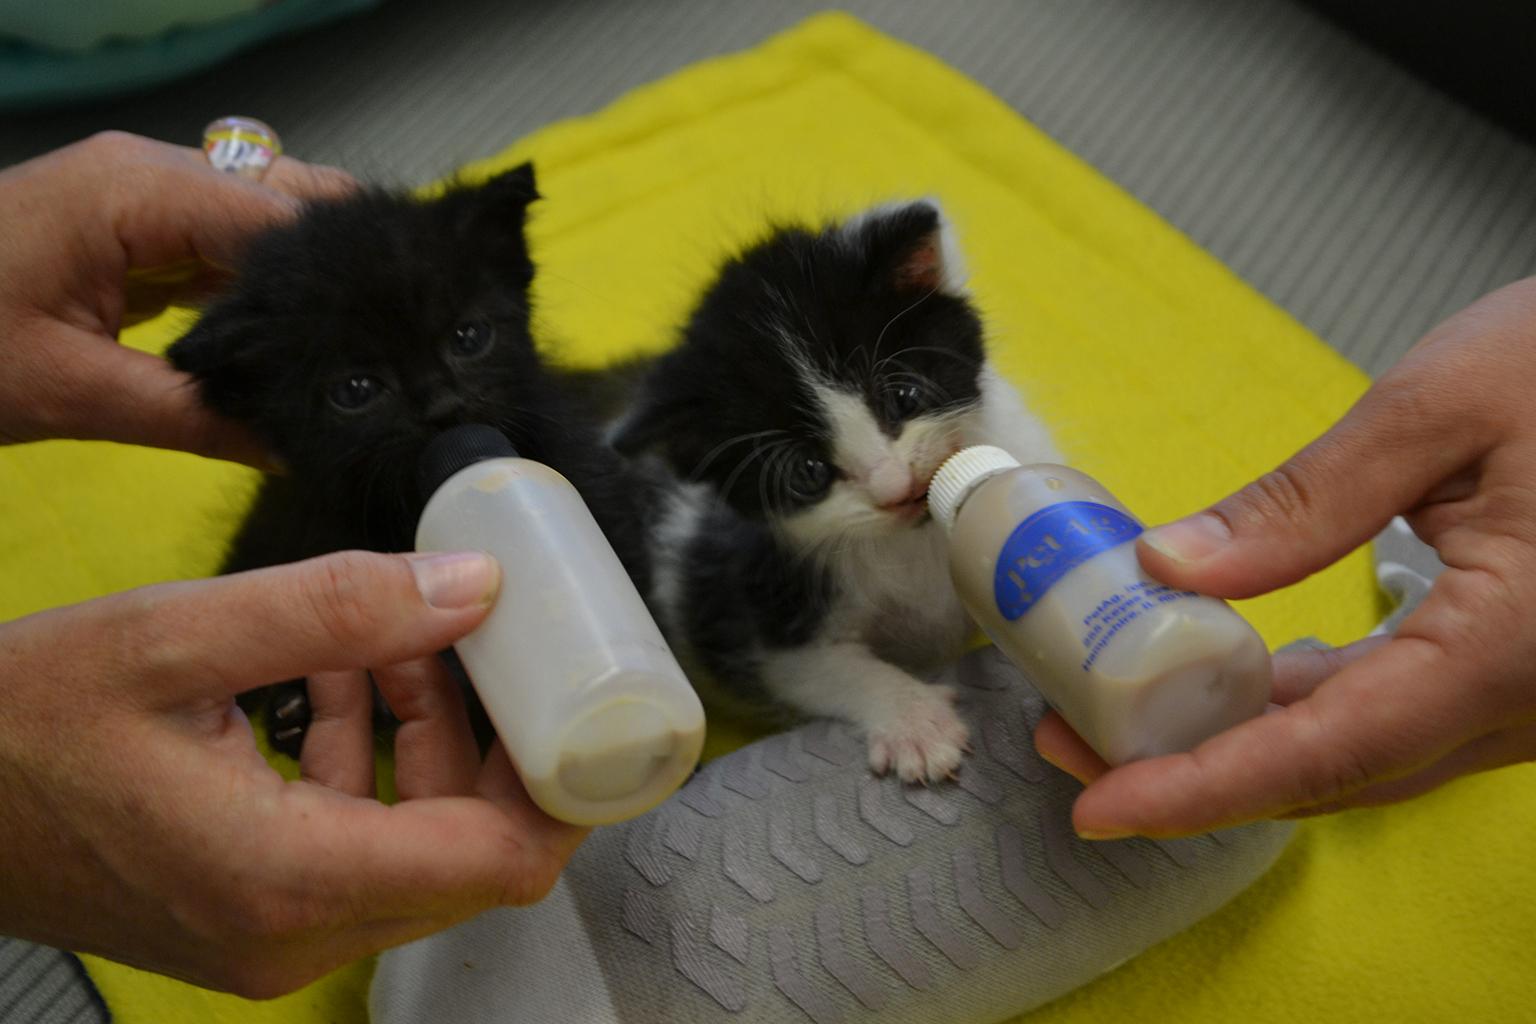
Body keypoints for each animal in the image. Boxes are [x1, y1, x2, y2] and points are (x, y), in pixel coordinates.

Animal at [174, 164, 654, 758]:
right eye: (356, 389)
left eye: (468, 336)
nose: (443, 406)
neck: (407, 505)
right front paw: (295, 713)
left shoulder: (591, 488)